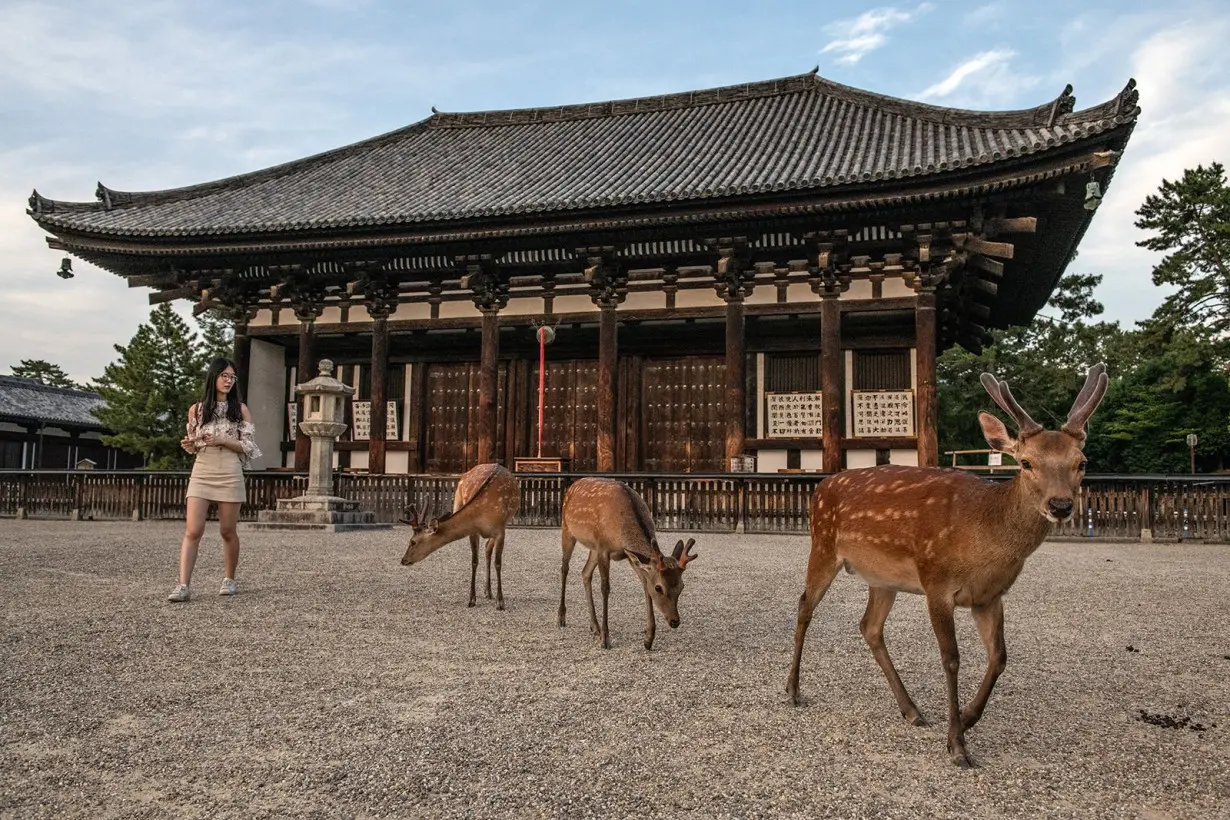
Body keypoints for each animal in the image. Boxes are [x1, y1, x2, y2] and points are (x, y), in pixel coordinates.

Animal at [400, 462, 521, 609]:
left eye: (413, 542)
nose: (403, 560)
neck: (482, 513)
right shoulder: (473, 531)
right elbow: (474, 561)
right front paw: (472, 599)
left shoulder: (500, 530)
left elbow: (498, 563)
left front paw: (500, 602)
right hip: (457, 501)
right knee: (487, 548)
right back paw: (487, 591)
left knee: (488, 549)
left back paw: (489, 592)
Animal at [560, 477, 698, 649]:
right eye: (659, 588)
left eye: (682, 586)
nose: (675, 621)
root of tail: (573, 484)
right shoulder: (604, 549)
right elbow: (605, 588)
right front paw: (606, 639)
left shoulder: (628, 555)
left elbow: (645, 585)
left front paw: (648, 638)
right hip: (567, 529)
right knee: (565, 568)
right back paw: (562, 617)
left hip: (593, 548)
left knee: (585, 573)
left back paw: (594, 627)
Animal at [787, 366, 1116, 772]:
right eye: (1026, 462)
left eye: (1081, 462)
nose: (1061, 505)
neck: (982, 539)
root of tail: (821, 486)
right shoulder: (936, 582)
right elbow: (951, 658)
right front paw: (957, 744)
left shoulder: (990, 596)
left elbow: (1000, 656)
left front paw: (969, 718)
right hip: (823, 544)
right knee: (805, 605)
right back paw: (793, 690)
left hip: (883, 578)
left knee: (869, 627)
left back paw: (911, 710)